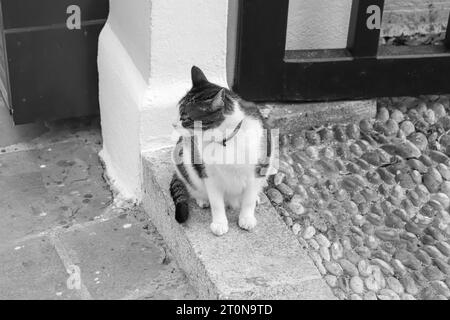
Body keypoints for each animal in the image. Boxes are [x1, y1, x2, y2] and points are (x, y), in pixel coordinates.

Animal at [169, 66, 276, 236]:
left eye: (185, 118)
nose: (173, 124)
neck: (225, 140)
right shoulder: (210, 175)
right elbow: (217, 203)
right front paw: (219, 223)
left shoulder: (257, 169)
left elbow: (248, 200)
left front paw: (246, 218)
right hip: (185, 161)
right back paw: (202, 199)